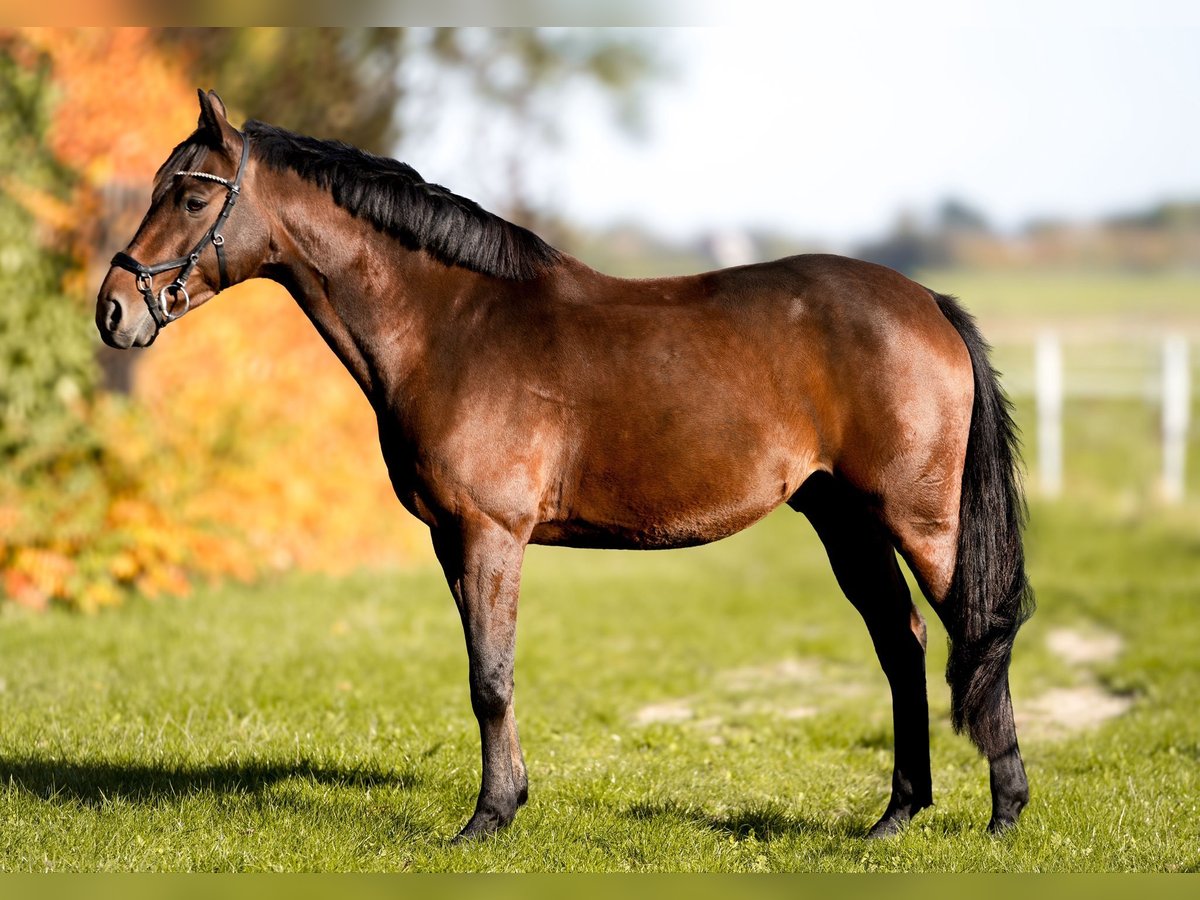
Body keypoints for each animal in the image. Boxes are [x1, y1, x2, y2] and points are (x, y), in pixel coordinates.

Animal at [96, 88, 1032, 844]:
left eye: (190, 195)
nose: (112, 310)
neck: (450, 325)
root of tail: (929, 303)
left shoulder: (491, 534)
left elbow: (490, 677)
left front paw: (487, 818)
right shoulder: (451, 540)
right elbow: (487, 669)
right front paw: (505, 802)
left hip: (920, 521)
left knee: (977, 633)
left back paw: (1004, 810)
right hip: (844, 519)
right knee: (902, 643)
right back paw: (896, 816)